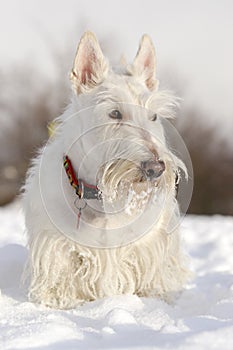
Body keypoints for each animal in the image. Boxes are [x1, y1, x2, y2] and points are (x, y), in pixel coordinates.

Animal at [22, 32, 189, 308]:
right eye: (114, 113)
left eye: (154, 116)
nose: (155, 168)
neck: (100, 197)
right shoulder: (56, 244)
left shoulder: (147, 245)